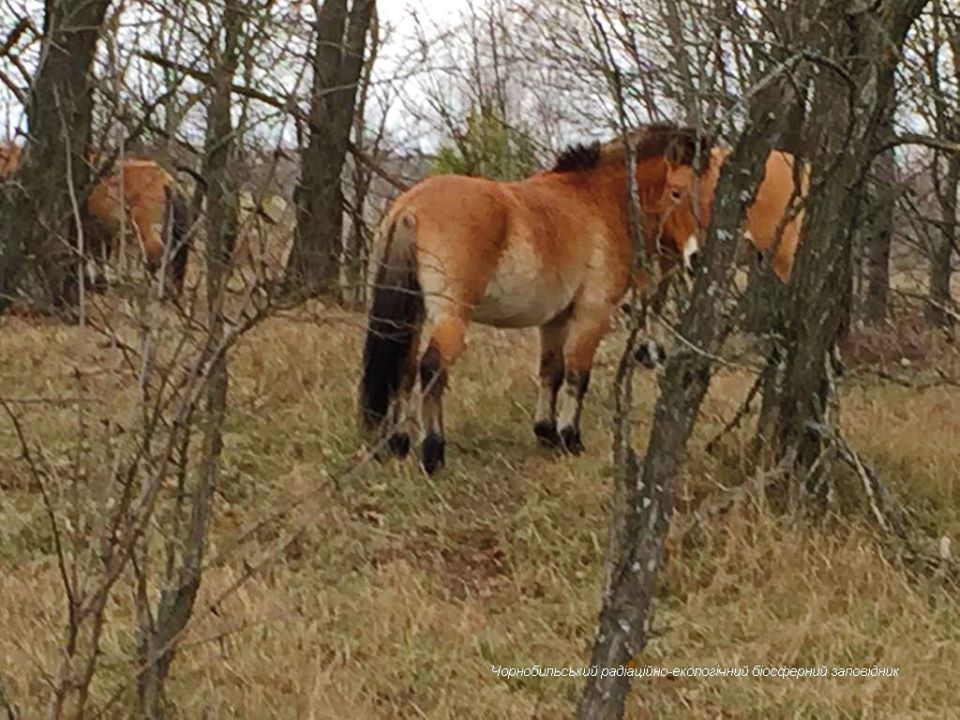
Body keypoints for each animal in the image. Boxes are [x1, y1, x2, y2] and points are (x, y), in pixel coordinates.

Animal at [0, 142, 195, 294]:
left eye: (5, 157)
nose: (6, 177)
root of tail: (169, 181)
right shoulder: (103, 228)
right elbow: (100, 255)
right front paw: (100, 283)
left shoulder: (85, 223)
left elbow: (86, 252)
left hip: (144, 224)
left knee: (157, 252)